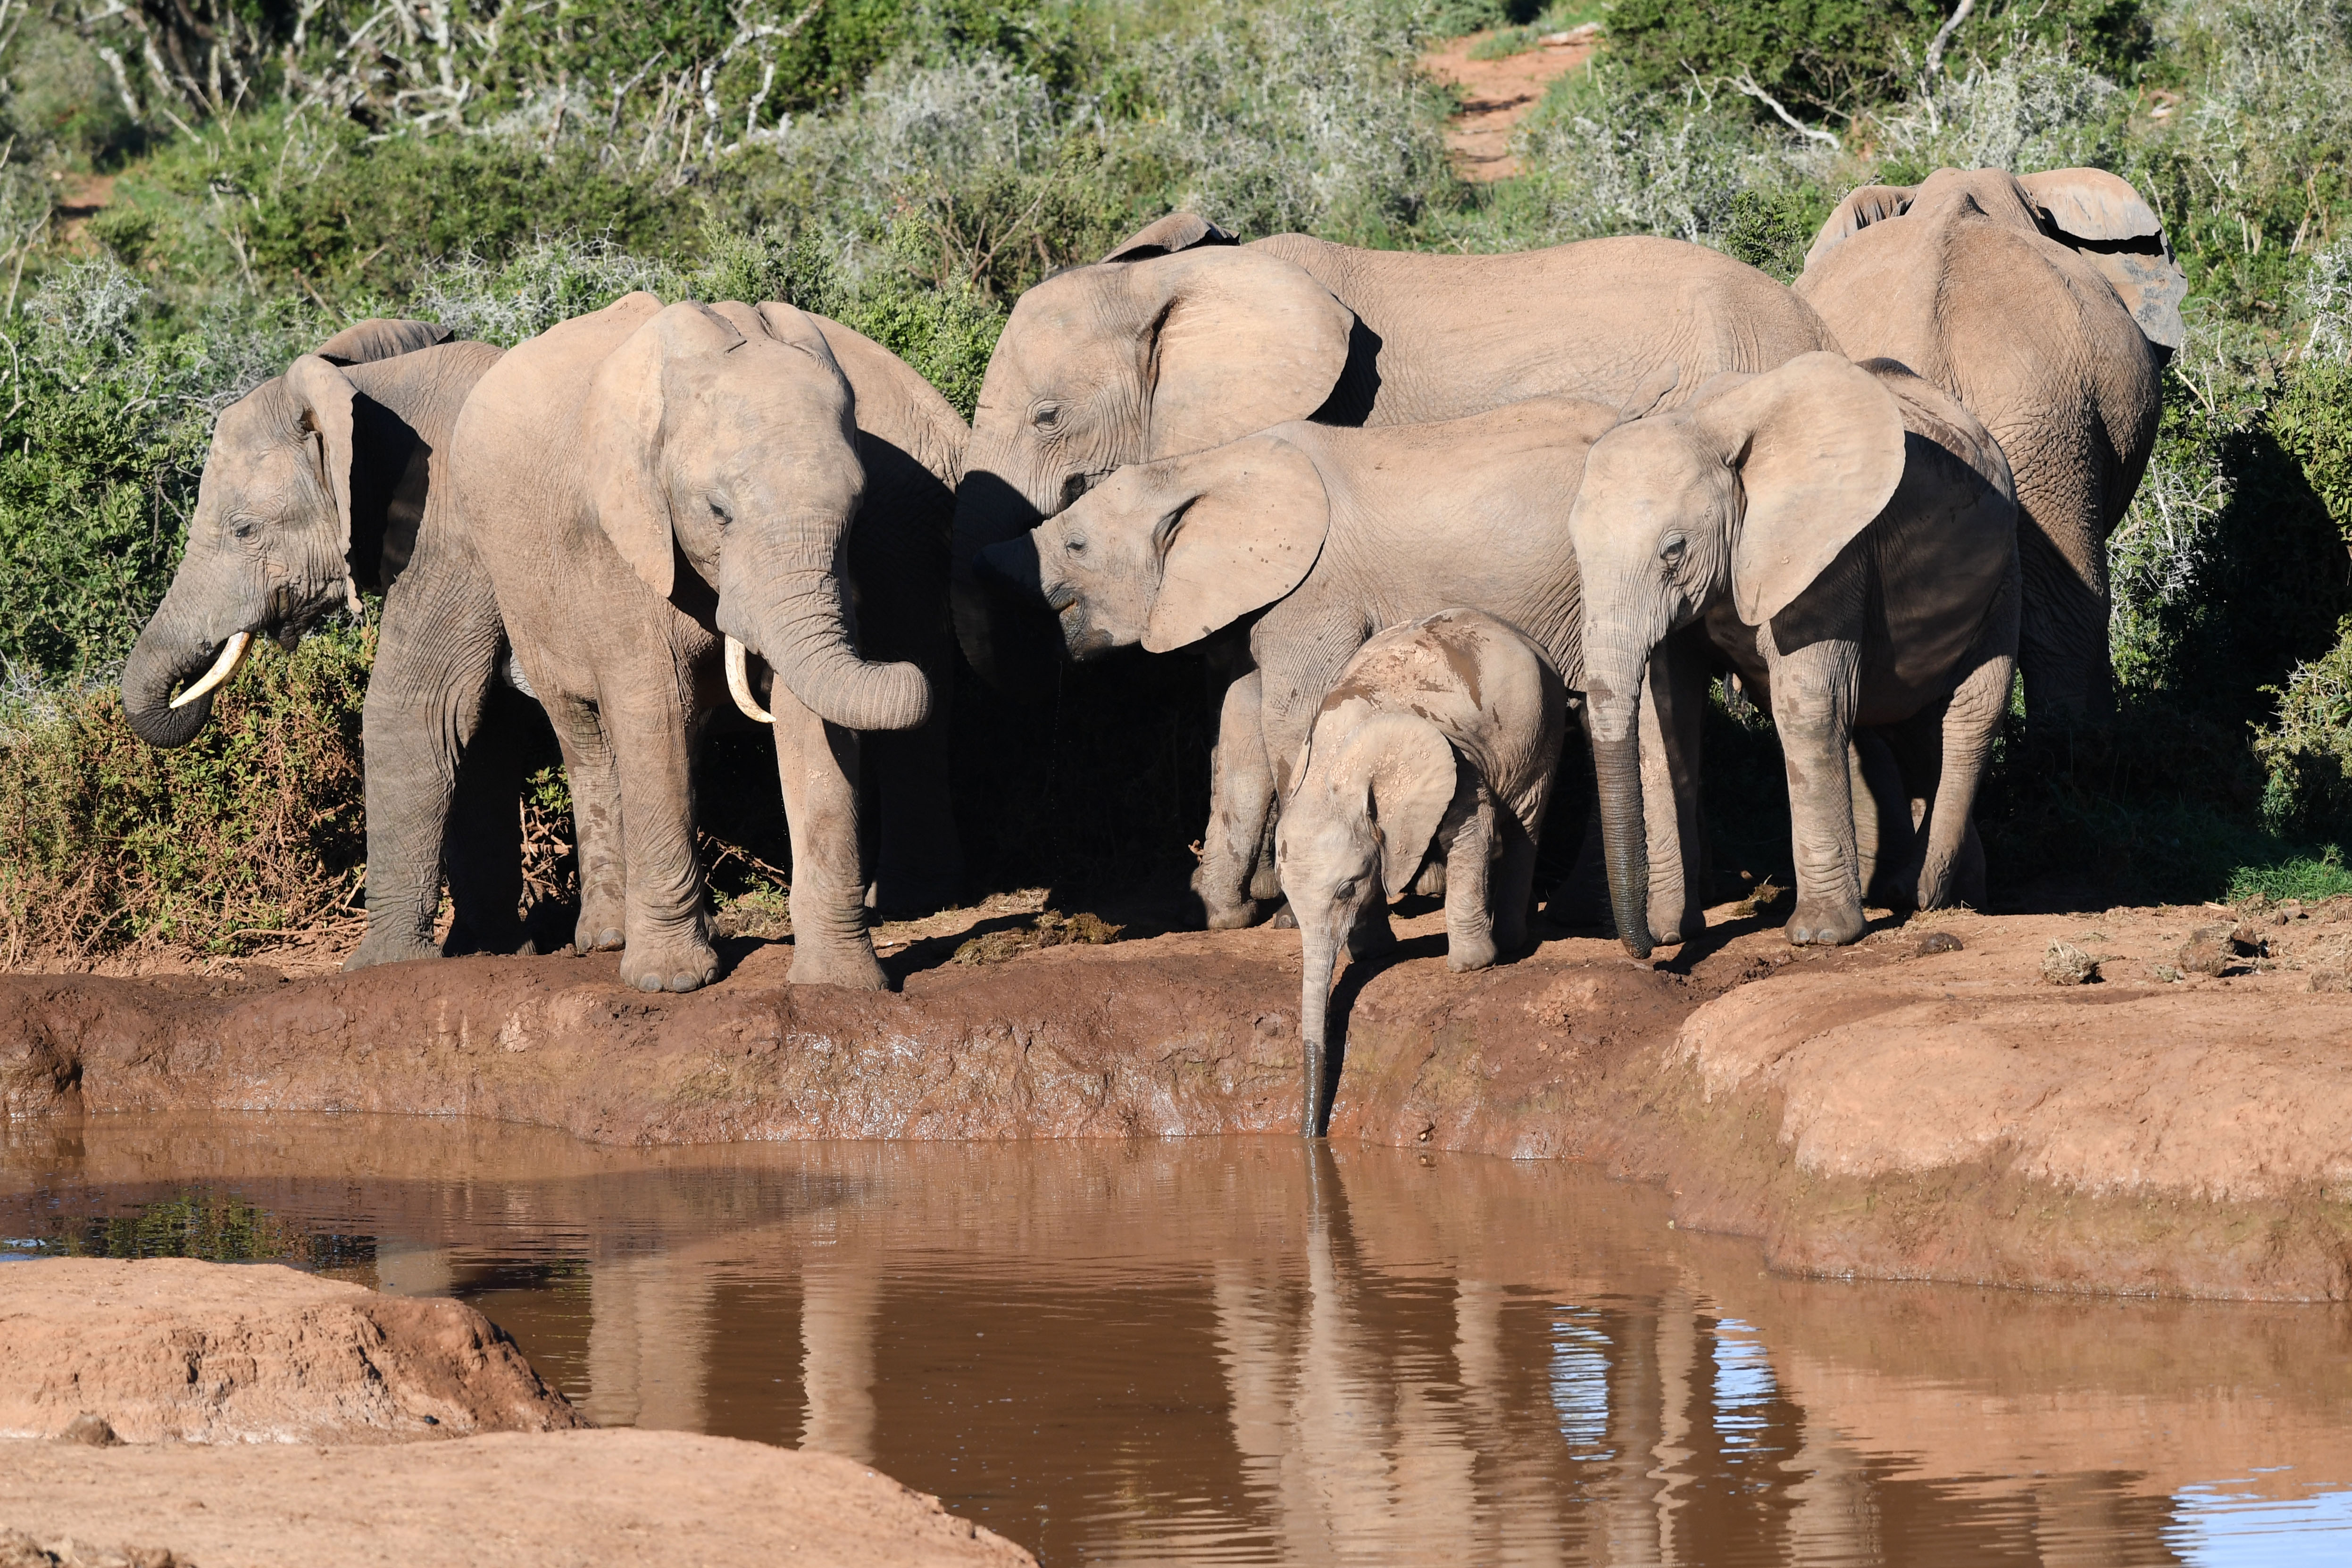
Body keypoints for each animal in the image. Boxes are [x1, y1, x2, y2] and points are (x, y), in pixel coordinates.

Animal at [115, 319, 556, 961]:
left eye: (244, 530)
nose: (185, 694)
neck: (373, 392)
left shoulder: (455, 536)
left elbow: (420, 711)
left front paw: (381, 967)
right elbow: (482, 727)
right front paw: (489, 953)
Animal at [451, 293, 962, 994]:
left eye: (858, 508)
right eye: (718, 512)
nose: (908, 665)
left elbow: (810, 721)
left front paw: (840, 986)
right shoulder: (618, 537)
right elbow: (654, 708)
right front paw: (669, 983)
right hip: (519, 590)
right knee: (585, 734)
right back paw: (609, 940)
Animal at [975, 394, 1714, 932]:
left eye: (1076, 545)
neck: (1202, 467)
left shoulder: (1314, 592)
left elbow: (1288, 720)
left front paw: (1286, 919)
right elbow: (1242, 720)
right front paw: (1228, 914)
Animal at [1276, 609, 1565, 1136]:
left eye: (1346, 889)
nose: (1311, 1133)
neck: (1333, 765)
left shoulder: (1455, 760)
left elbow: (1475, 826)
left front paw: (1471, 966)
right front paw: (1372, 954)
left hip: (1541, 726)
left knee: (1525, 820)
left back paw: (1510, 943)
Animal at [1568, 353, 2019, 957]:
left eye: (1674, 550)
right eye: (1574, 545)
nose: (1642, 950)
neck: (1705, 424)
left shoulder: (1832, 552)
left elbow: (1807, 707)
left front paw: (1821, 936)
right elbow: (1665, 722)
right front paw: (1672, 930)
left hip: (2006, 573)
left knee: (1972, 714)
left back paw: (1922, 895)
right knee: (1914, 728)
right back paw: (1955, 894)